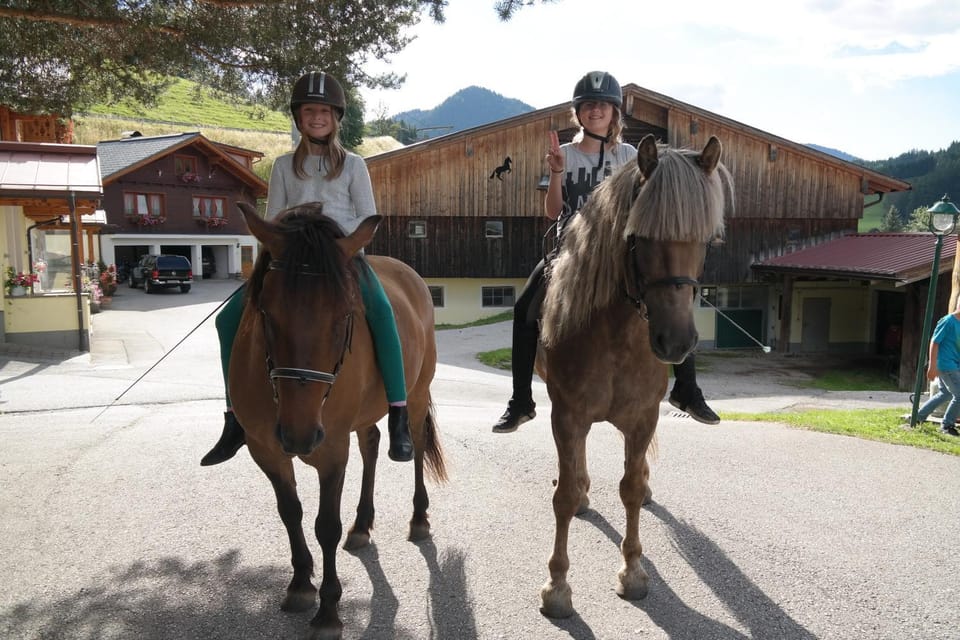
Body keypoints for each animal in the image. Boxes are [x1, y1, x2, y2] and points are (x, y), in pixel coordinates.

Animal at [229, 201, 447, 639]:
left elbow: (325, 524)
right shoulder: (267, 451)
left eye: (345, 315)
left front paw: (329, 610)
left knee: (414, 445)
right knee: (370, 445)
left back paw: (418, 517)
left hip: (416, 395)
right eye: (265, 313)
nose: (299, 435)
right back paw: (362, 524)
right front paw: (300, 583)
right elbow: (290, 512)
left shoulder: (330, 450)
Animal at [535, 134, 732, 618]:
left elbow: (629, 487)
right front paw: (558, 587)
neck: (616, 338)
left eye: (705, 239)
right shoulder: (566, 415)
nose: (676, 342)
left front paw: (633, 572)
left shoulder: (644, 418)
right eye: (638, 237)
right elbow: (564, 497)